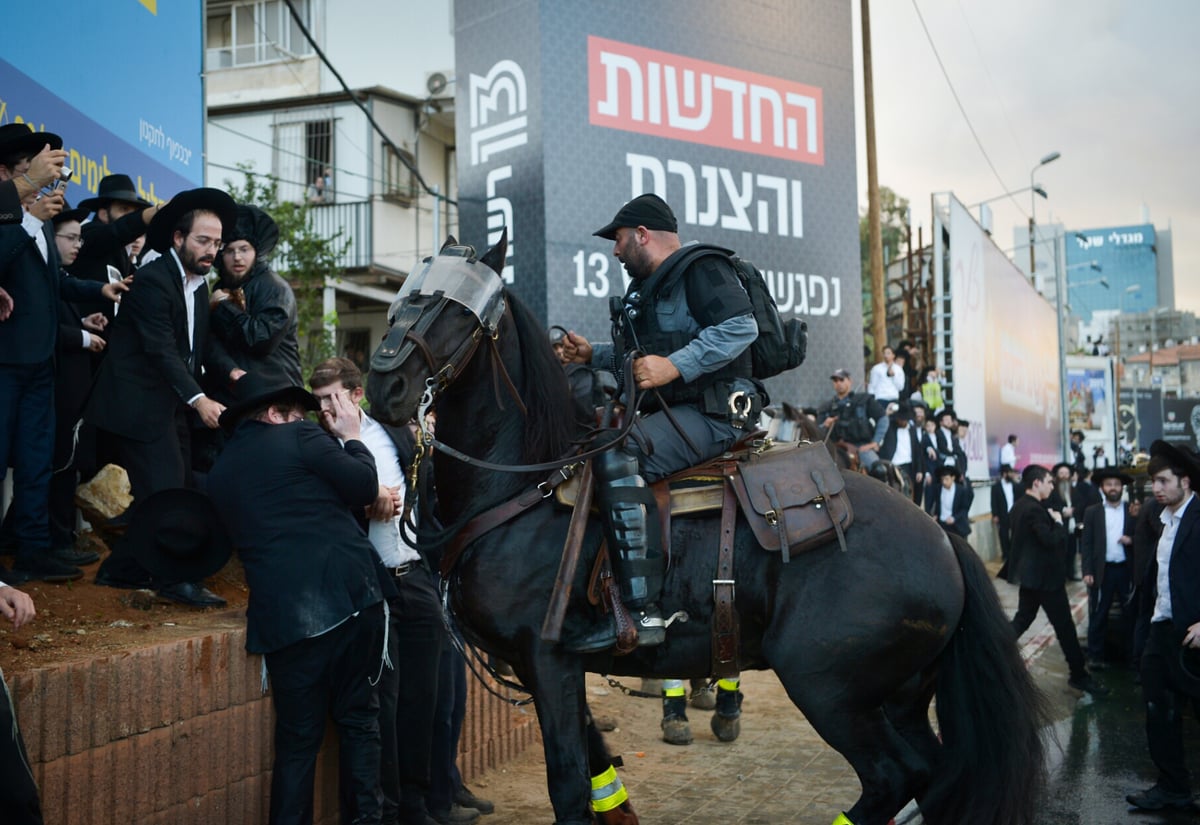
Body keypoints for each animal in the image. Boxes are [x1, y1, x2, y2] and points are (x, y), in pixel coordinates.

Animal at [362, 233, 1041, 825]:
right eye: (402, 301)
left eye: (452, 311)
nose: (383, 385)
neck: (524, 481)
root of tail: (943, 539)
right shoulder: (547, 668)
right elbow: (599, 768)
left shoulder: (547, 658)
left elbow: (569, 787)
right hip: (899, 693)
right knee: (934, 773)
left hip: (828, 686)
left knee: (893, 777)